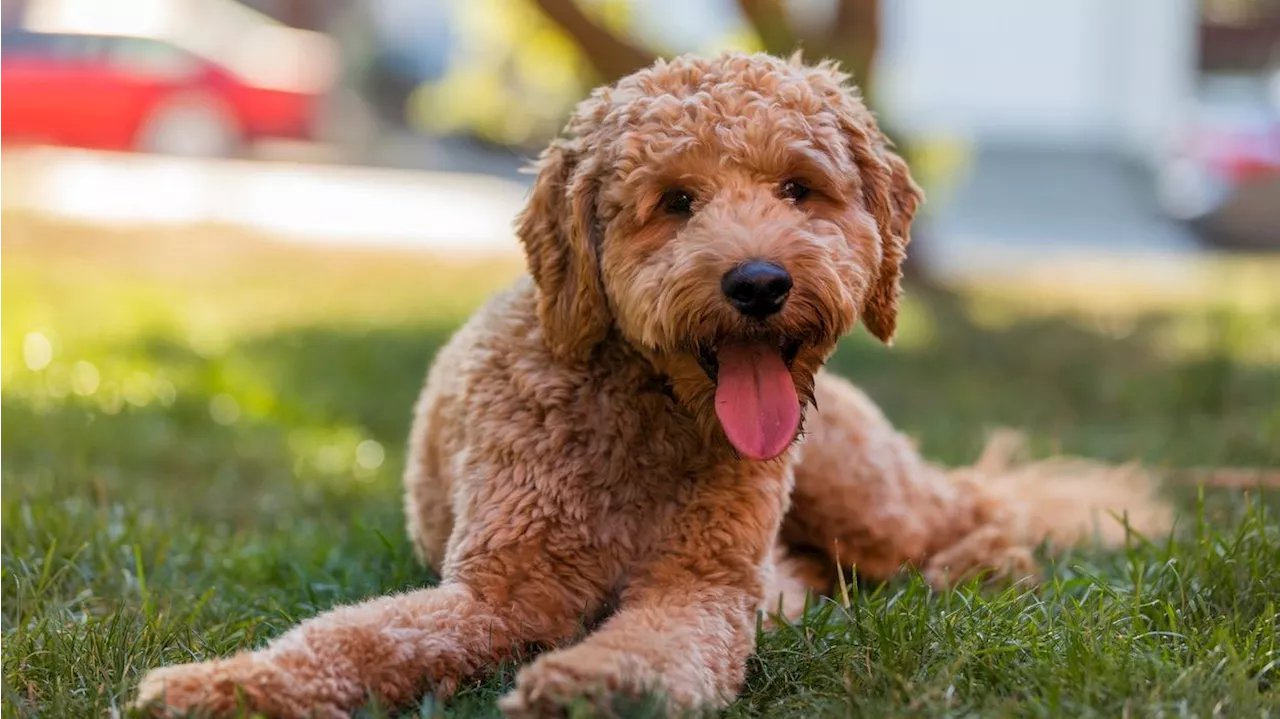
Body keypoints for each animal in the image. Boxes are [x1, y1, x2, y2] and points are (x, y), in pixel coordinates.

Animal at [132, 51, 1172, 716]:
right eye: (675, 201)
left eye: (797, 188)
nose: (759, 283)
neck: (646, 409)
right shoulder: (497, 592)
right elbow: (355, 637)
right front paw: (228, 684)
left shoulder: (699, 584)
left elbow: (657, 640)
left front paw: (592, 684)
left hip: (861, 488)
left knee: (980, 510)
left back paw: (981, 564)